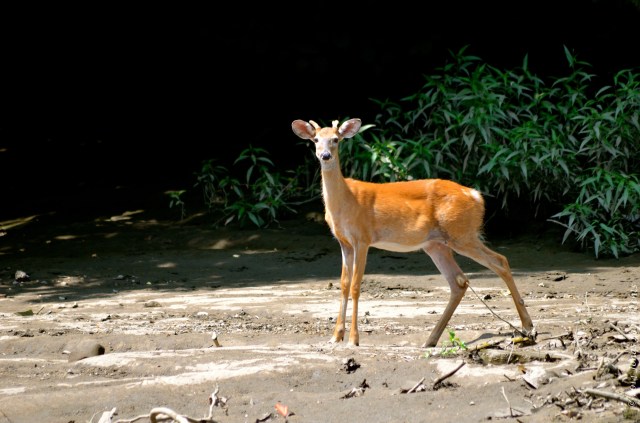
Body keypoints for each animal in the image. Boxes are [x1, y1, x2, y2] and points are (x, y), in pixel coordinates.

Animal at [291, 117, 535, 348]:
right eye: (315, 140)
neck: (344, 202)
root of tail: (476, 196)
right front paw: (335, 337)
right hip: (436, 244)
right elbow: (342, 285)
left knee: (500, 261)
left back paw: (528, 327)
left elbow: (355, 286)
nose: (325, 155)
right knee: (459, 281)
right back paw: (430, 339)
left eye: (336, 139)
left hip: (462, 234)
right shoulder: (344, 242)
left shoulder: (363, 238)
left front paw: (353, 339)